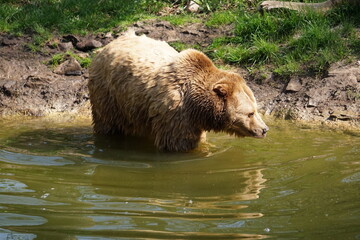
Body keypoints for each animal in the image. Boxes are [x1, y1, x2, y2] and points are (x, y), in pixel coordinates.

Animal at [88, 31, 268, 152]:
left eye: (256, 109)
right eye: (250, 113)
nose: (264, 129)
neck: (199, 107)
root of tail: (108, 45)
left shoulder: (194, 120)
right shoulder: (176, 114)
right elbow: (178, 143)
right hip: (110, 95)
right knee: (108, 123)